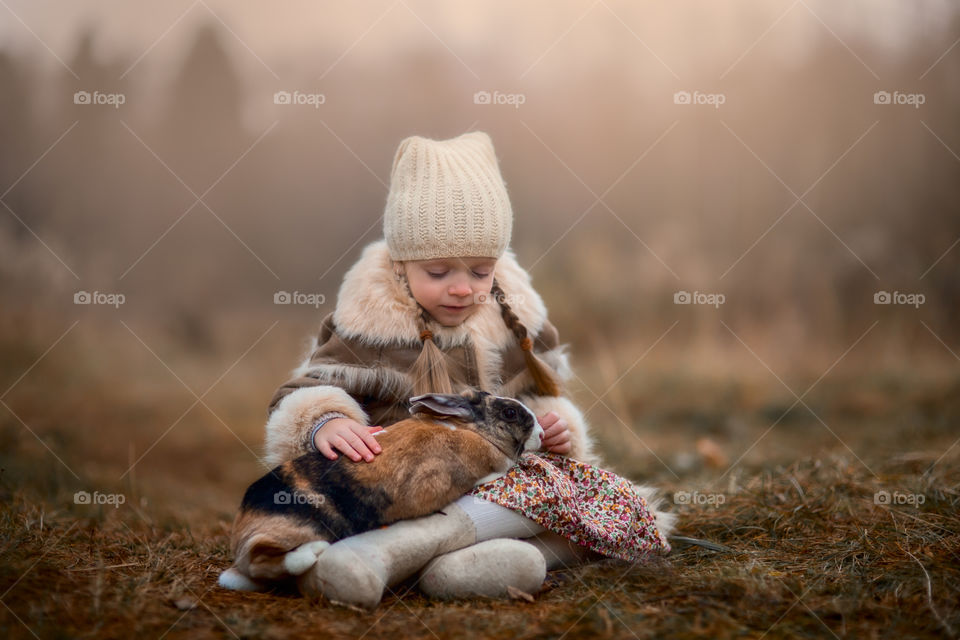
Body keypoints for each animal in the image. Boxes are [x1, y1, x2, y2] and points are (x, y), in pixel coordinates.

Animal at [220, 384, 544, 592]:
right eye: (510, 413)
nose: (541, 434)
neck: (473, 431)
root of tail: (241, 531)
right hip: (290, 534)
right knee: (263, 559)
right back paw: (313, 551)